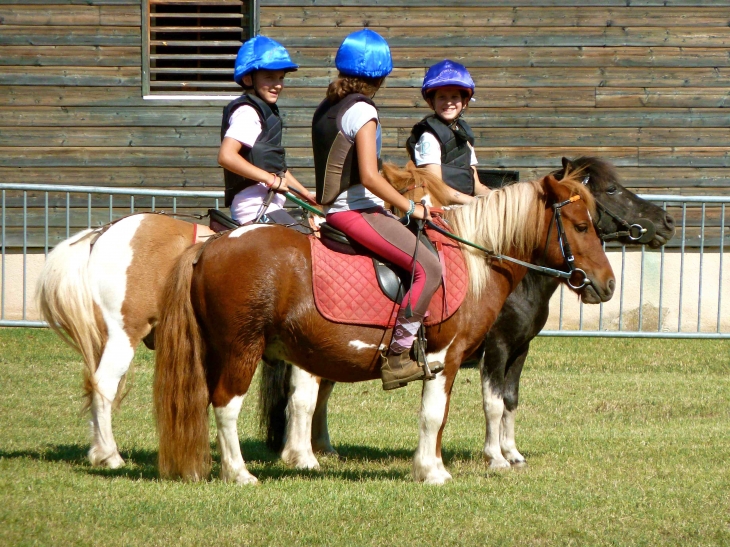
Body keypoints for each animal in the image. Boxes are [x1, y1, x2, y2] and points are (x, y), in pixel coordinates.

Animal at [155, 172, 616, 484]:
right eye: (580, 226)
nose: (608, 284)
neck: (474, 262)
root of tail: (211, 246)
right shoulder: (448, 356)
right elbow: (437, 415)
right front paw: (434, 470)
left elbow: (474, 409)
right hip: (241, 348)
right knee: (226, 406)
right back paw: (240, 473)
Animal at [258, 156, 672, 468]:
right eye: (611, 191)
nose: (667, 221)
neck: (494, 268)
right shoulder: (496, 348)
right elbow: (492, 402)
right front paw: (495, 457)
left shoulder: (520, 349)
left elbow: (510, 400)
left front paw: (512, 452)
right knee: (303, 396)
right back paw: (304, 455)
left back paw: (321, 449)